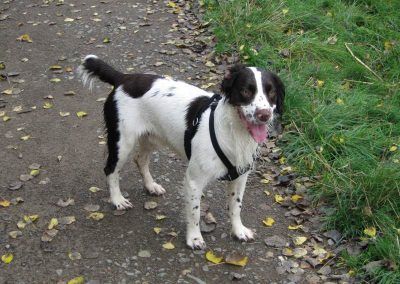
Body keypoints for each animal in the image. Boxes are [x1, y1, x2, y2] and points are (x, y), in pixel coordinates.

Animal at [78, 55, 284, 248]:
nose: (264, 115)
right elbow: (194, 212)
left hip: (152, 138)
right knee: (111, 169)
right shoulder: (193, 180)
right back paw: (117, 199)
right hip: (123, 142)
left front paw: (238, 230)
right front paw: (194, 238)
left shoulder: (240, 177)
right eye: (246, 91)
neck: (234, 132)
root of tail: (124, 78)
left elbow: (236, 206)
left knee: (140, 159)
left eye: (271, 92)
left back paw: (151, 186)